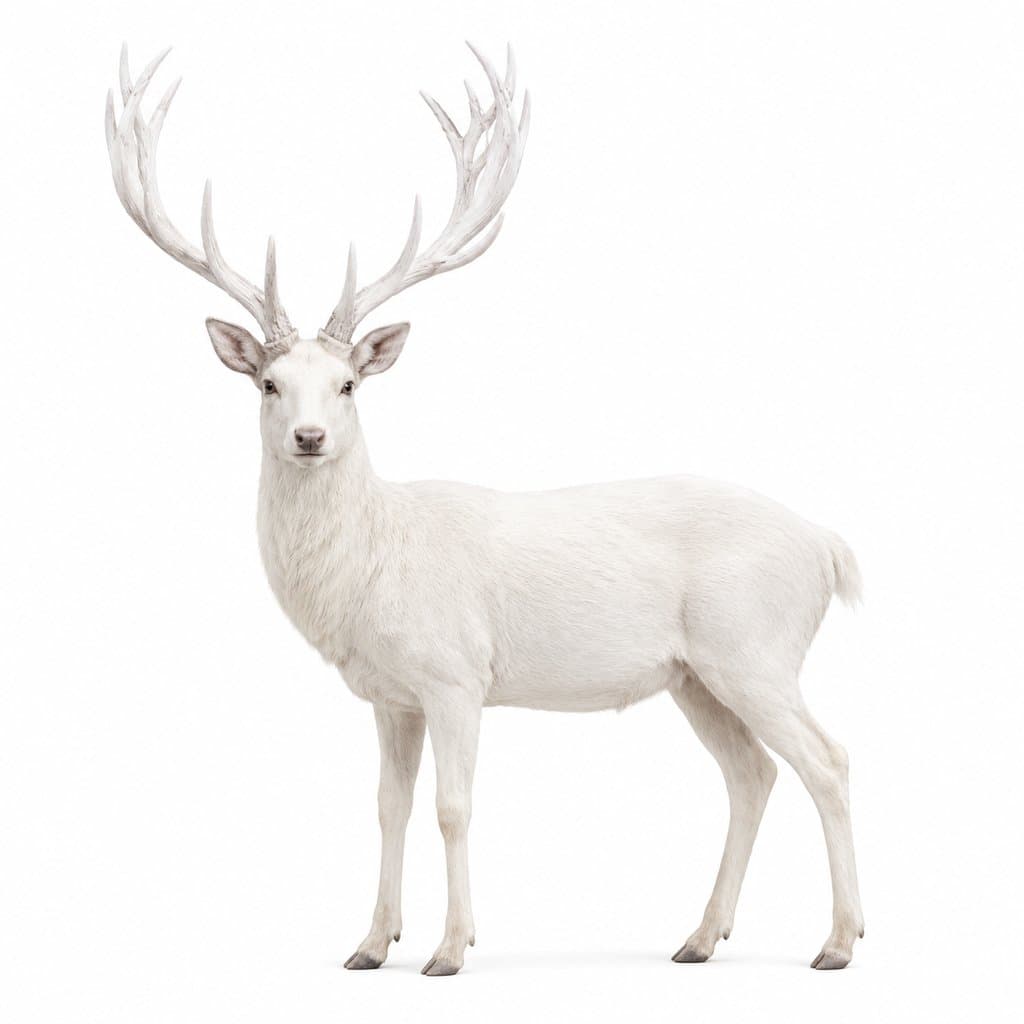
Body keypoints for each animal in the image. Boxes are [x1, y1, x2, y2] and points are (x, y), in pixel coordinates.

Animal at [105, 43, 865, 977]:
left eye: (349, 384)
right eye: (269, 383)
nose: (310, 436)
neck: (368, 573)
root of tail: (827, 545)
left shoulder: (456, 672)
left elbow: (453, 806)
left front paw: (451, 949)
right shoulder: (390, 694)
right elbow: (387, 806)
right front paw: (369, 944)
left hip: (756, 648)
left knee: (827, 760)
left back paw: (838, 942)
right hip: (697, 675)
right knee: (751, 773)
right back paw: (698, 937)